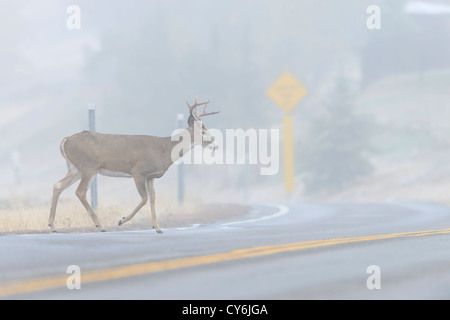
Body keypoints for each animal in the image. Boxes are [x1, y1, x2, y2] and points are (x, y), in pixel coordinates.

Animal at [48, 97, 218, 232]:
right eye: (203, 131)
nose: (215, 145)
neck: (164, 150)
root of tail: (65, 140)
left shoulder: (151, 176)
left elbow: (153, 198)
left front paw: (157, 227)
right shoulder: (138, 171)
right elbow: (144, 199)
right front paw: (122, 220)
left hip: (75, 169)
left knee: (58, 185)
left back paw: (52, 226)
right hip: (89, 167)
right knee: (80, 192)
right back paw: (100, 226)